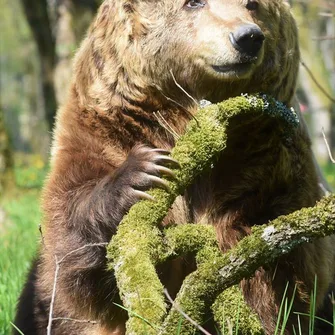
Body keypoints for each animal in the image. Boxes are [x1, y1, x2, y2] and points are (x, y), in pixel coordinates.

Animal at [14, 0, 334, 335]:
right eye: (194, 3)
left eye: (253, 4)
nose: (247, 37)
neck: (184, 114)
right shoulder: (103, 129)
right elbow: (74, 237)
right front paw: (143, 171)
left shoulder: (266, 160)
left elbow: (286, 271)